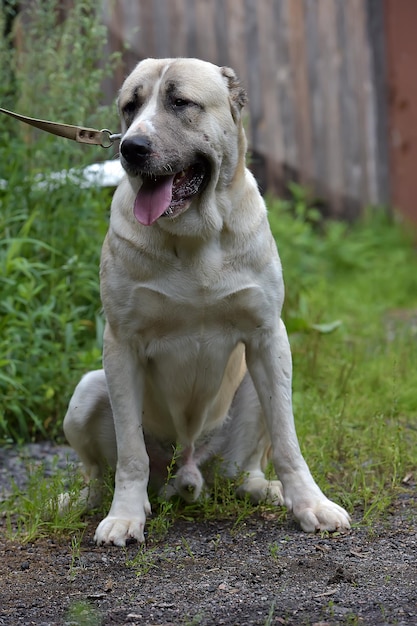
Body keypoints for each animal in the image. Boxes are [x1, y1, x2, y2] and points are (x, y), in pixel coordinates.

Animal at [63, 59, 350, 544]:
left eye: (181, 102)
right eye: (130, 106)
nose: (131, 148)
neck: (197, 237)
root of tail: (188, 470)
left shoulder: (268, 337)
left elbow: (288, 441)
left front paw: (312, 504)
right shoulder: (121, 344)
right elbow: (131, 453)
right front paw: (125, 517)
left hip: (253, 388)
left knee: (243, 469)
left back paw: (264, 488)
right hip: (87, 391)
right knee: (101, 473)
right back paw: (94, 501)